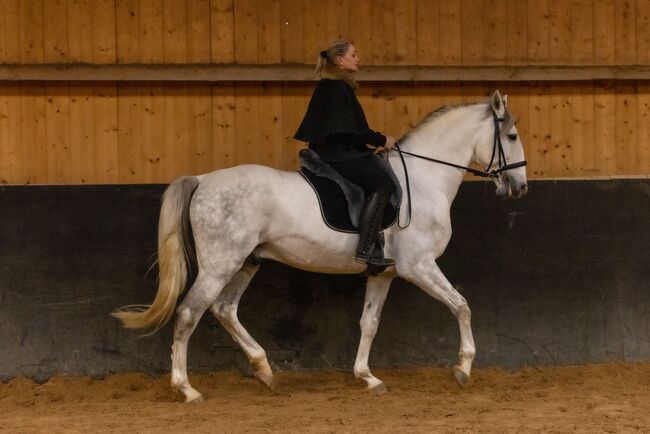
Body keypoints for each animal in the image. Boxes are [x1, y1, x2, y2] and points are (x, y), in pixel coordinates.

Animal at [111, 89, 528, 404]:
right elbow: (461, 306)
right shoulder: (419, 267)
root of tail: (202, 179)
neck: (424, 180)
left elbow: (369, 322)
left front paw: (367, 377)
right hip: (220, 264)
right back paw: (187, 389)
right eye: (511, 137)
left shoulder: (385, 273)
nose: (520, 187)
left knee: (225, 309)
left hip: (247, 262)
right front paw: (463, 368)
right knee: (188, 313)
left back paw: (264, 370)